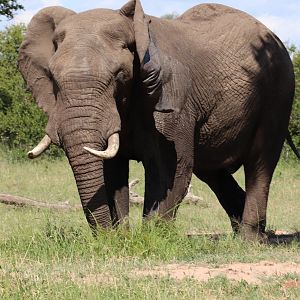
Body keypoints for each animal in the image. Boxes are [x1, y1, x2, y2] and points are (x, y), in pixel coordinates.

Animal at [17, 0, 296, 241]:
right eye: (53, 77)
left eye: (119, 75)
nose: (105, 237)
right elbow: (111, 170)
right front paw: (120, 238)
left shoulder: (169, 97)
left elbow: (170, 166)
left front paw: (152, 237)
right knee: (213, 171)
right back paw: (245, 234)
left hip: (279, 93)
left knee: (260, 162)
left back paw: (250, 240)